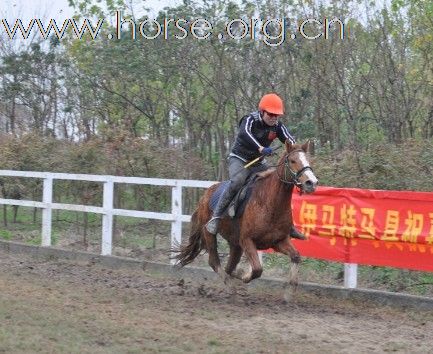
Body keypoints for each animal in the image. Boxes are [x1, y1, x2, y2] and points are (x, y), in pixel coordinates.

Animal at [172, 140, 318, 286]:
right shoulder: (247, 240)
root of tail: (204, 196)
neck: (269, 204)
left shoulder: (279, 241)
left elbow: (296, 258)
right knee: (215, 263)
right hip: (209, 234)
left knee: (228, 267)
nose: (311, 183)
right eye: (293, 161)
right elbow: (257, 269)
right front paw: (245, 276)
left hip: (235, 244)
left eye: (308, 160)